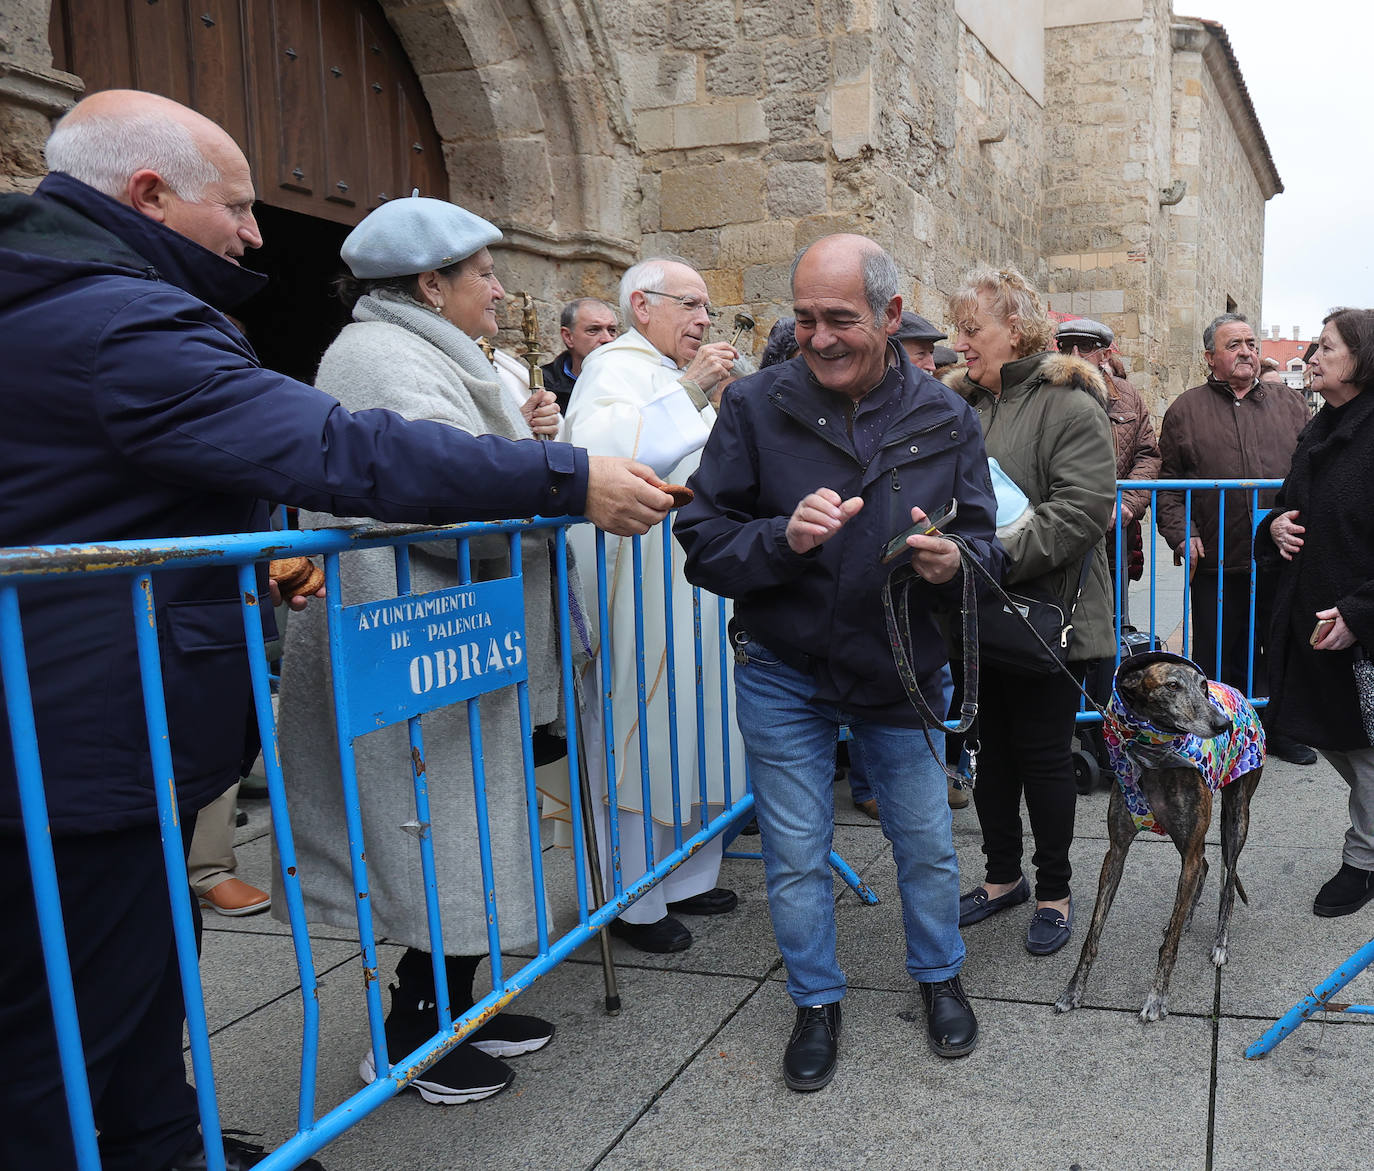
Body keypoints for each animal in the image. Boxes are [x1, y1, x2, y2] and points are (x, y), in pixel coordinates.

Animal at [1049, 654, 1264, 1022]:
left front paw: (1157, 998)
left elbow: (1170, 946)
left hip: (1236, 819)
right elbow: (1093, 933)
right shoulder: (1117, 851)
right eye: (1172, 685)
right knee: (1205, 867)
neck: (1153, 756)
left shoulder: (1191, 847)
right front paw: (1073, 990)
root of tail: (1241, 694)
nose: (1222, 724)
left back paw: (1220, 943)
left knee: (1227, 880)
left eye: (1203, 686)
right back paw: (1187, 917)